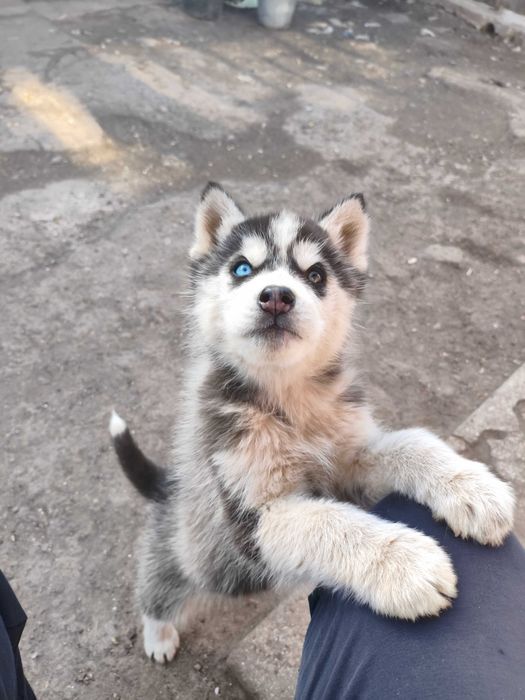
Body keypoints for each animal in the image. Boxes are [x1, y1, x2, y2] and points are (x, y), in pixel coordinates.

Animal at [110, 183, 515, 663]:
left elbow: (411, 442)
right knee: (158, 588)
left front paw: (472, 487)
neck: (290, 400)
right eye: (242, 268)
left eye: (316, 275)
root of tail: (168, 485)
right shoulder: (252, 517)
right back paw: (158, 635)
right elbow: (327, 523)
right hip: (185, 552)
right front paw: (405, 564)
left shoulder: (350, 463)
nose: (276, 296)